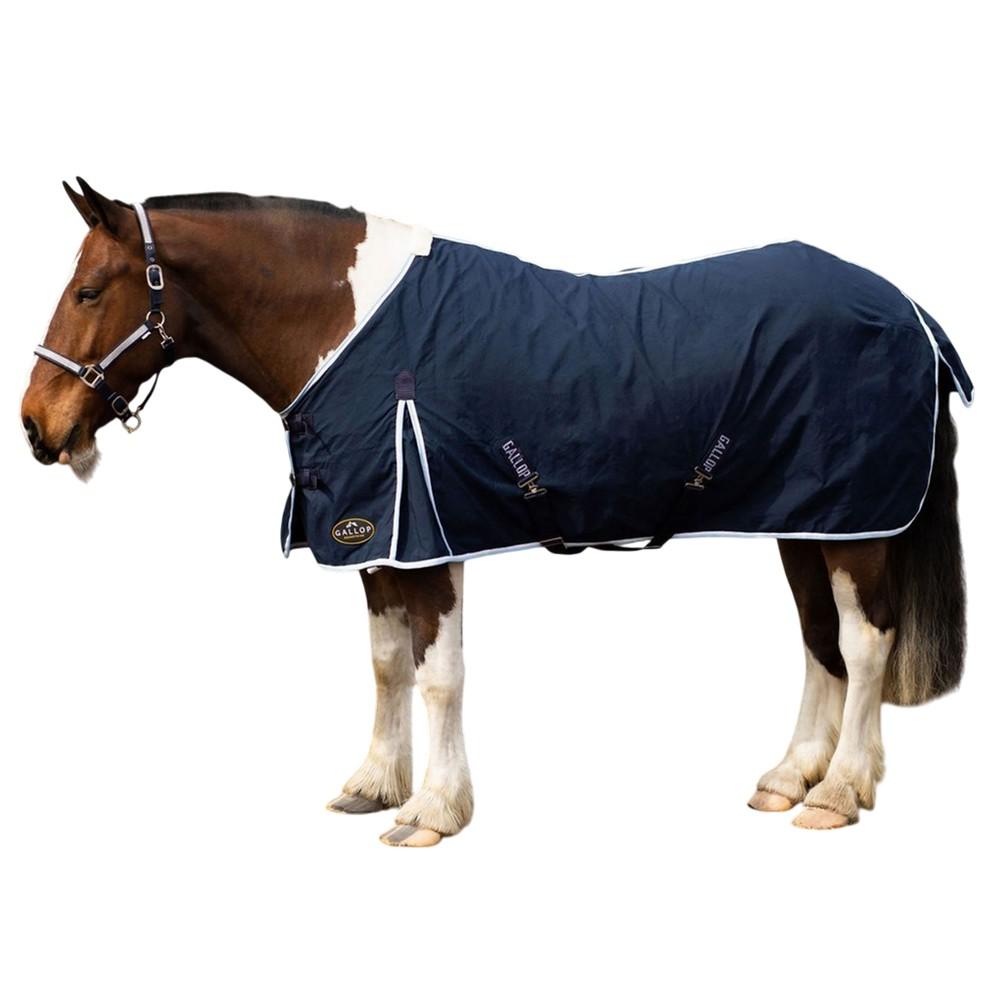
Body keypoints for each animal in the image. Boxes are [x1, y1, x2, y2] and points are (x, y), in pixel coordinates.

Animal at [21, 178, 971, 846]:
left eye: (91, 290)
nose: (36, 425)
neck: (352, 330)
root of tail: (912, 312)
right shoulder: (375, 544)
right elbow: (386, 665)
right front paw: (374, 787)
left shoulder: (426, 539)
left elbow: (439, 673)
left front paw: (434, 810)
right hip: (811, 521)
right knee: (820, 641)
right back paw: (791, 778)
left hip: (855, 528)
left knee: (864, 643)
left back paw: (839, 792)